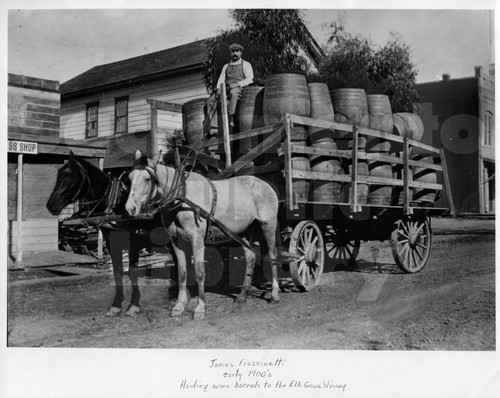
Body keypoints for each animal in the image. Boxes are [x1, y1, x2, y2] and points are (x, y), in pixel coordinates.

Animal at [47, 152, 165, 318]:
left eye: (73, 177)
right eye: (59, 174)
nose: (51, 205)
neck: (117, 204)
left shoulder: (134, 241)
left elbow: (133, 272)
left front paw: (134, 305)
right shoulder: (111, 241)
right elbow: (117, 271)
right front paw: (116, 305)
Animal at [125, 150, 282, 320]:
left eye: (147, 179)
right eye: (130, 177)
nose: (129, 208)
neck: (182, 197)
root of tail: (265, 184)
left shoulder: (197, 240)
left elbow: (200, 273)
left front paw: (201, 308)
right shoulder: (176, 241)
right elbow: (182, 272)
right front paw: (179, 306)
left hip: (268, 225)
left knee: (272, 255)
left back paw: (274, 294)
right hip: (243, 232)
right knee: (251, 257)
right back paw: (242, 295)